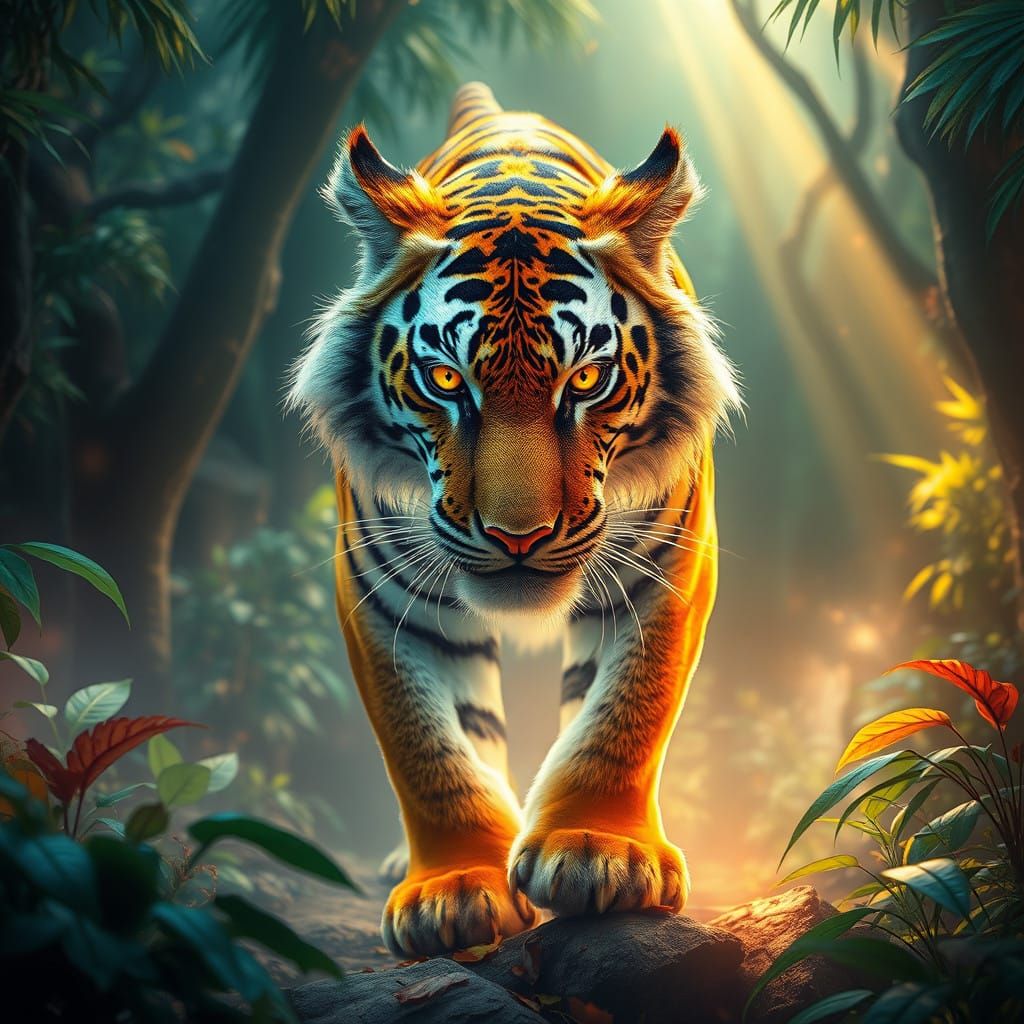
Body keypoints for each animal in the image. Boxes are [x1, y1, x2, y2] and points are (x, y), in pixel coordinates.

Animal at [289, 82, 738, 957]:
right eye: (444, 380)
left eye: (588, 379)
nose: (518, 537)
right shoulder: (383, 592)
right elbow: (425, 746)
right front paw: (455, 889)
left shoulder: (668, 563)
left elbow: (629, 707)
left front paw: (599, 851)